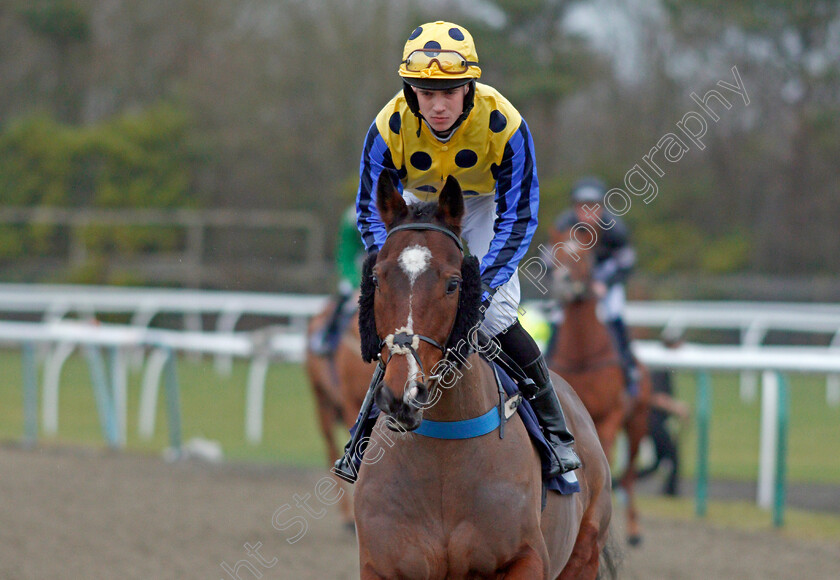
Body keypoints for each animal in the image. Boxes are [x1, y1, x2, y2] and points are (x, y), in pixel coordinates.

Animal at [352, 176, 612, 580]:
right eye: (377, 280)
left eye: (453, 283)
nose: (402, 394)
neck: (442, 452)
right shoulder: (382, 566)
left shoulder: (526, 558)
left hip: (583, 554)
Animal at [544, 224, 648, 548]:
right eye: (555, 254)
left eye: (585, 256)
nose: (563, 283)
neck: (583, 355)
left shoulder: (611, 416)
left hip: (637, 424)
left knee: (629, 475)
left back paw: (634, 530)